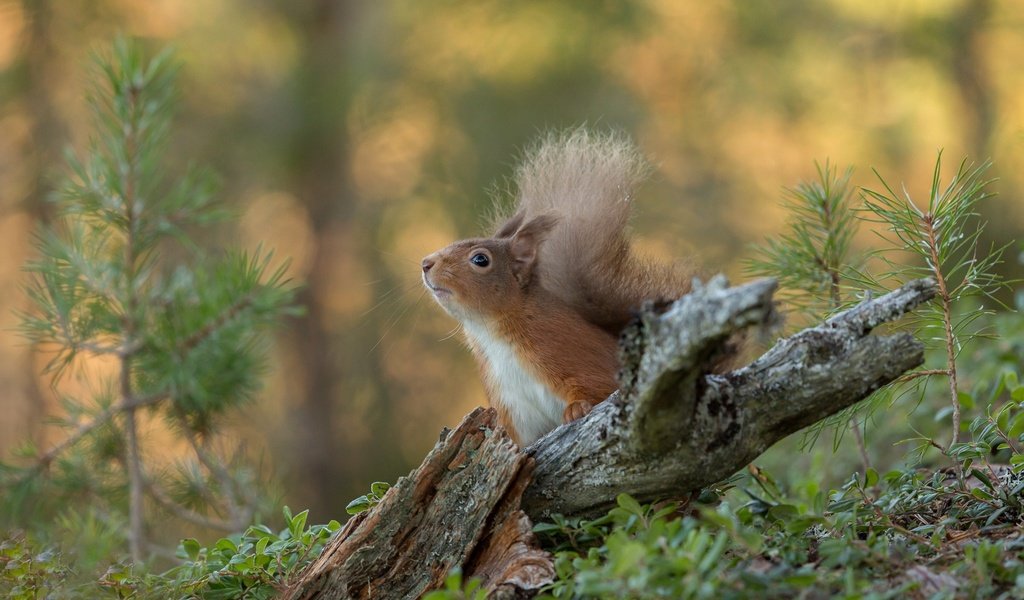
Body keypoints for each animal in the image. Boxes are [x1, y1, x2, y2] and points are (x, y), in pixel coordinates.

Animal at [419, 128, 692, 444]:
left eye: (480, 259)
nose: (426, 263)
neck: (492, 334)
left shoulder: (568, 351)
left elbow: (599, 387)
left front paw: (577, 408)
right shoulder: (514, 409)